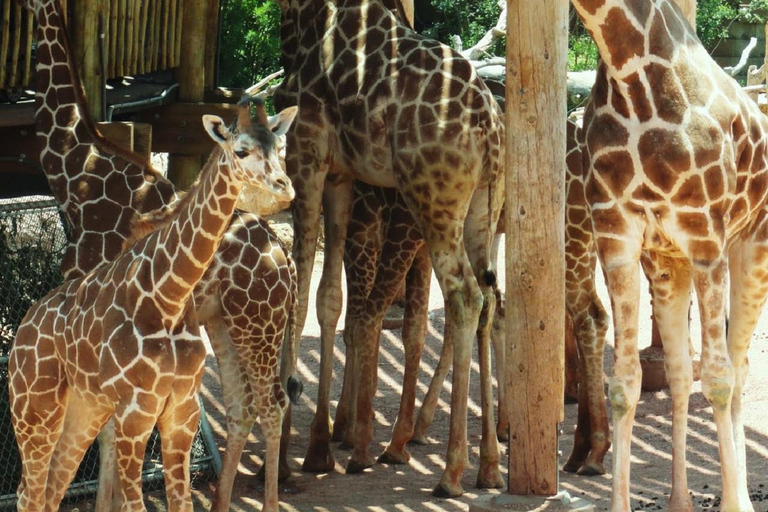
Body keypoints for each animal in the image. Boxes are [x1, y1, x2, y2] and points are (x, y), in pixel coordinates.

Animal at [22, 1, 300, 510]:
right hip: (226, 323)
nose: (282, 187)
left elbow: (108, 435)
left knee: (271, 404)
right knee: (241, 405)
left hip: (256, 324)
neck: (76, 177)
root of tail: (284, 257)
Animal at [275, 0, 505, 496]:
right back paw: (490, 464)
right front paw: (319, 448)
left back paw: (450, 473)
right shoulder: (340, 173)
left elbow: (299, 301)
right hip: (481, 209)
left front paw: (283, 459)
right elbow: (330, 300)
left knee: (465, 297)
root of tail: (490, 128)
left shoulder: (304, 151)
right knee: (490, 299)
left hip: (434, 203)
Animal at [572, 0, 767, 510]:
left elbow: (718, 379)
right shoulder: (616, 235)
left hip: (750, 248)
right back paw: (681, 499)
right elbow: (625, 382)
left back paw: (741, 497)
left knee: (737, 368)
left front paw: (734, 502)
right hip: (666, 265)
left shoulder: (706, 236)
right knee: (681, 372)